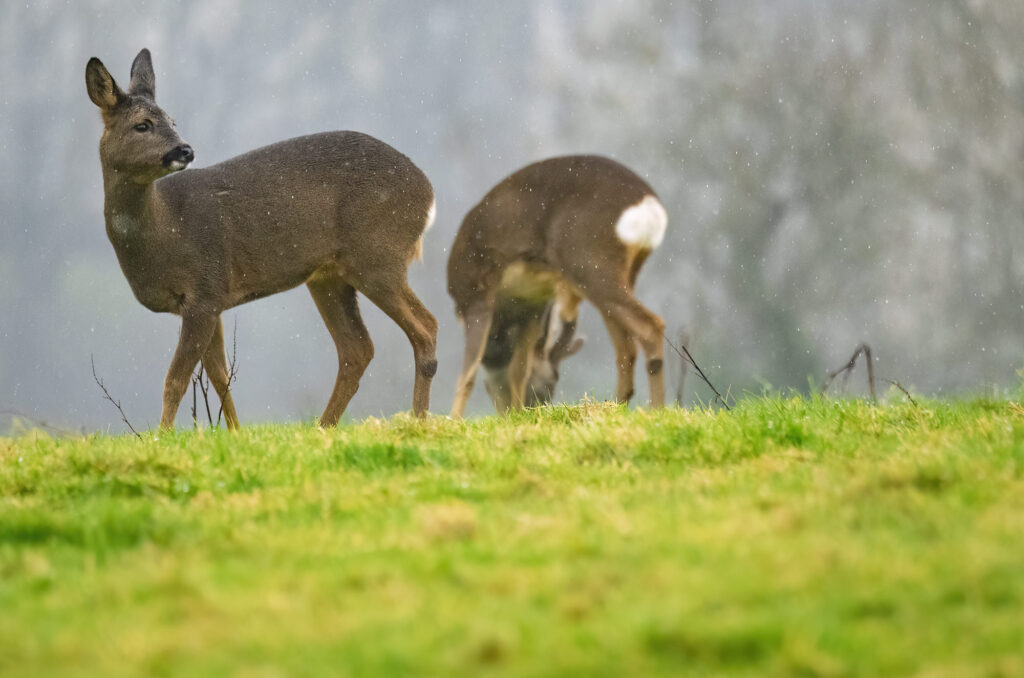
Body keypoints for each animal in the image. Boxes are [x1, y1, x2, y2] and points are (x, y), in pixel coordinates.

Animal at [86, 49, 438, 430]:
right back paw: (323, 427)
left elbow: (175, 381)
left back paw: (417, 421)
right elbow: (221, 376)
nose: (185, 150)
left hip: (377, 255)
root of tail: (429, 192)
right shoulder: (211, 300)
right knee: (357, 348)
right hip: (329, 276)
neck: (166, 232)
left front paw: (162, 436)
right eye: (142, 124)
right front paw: (235, 434)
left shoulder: (204, 290)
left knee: (425, 327)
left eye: (171, 120)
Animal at [446, 156, 663, 417]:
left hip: (589, 263)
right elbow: (518, 371)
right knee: (626, 347)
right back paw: (616, 406)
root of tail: (649, 206)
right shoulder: (533, 307)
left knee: (650, 326)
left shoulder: (474, 295)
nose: (534, 409)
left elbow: (468, 375)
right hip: (622, 274)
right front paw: (517, 416)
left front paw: (452, 420)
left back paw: (657, 410)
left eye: (548, 388)